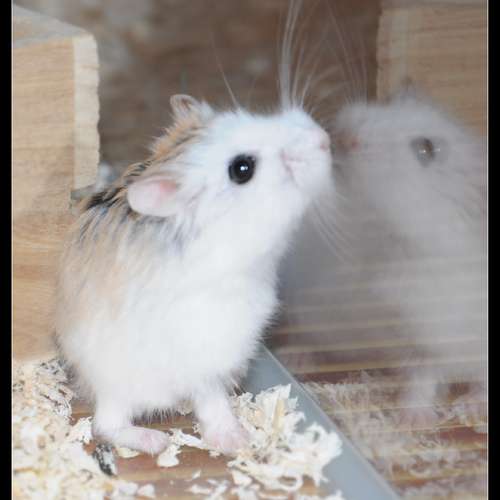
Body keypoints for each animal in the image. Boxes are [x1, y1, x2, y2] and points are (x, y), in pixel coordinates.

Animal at [331, 87, 486, 424]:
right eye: (390, 101)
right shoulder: (414, 337)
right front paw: (412, 419)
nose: (343, 136)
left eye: (425, 148)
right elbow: (422, 377)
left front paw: (470, 408)